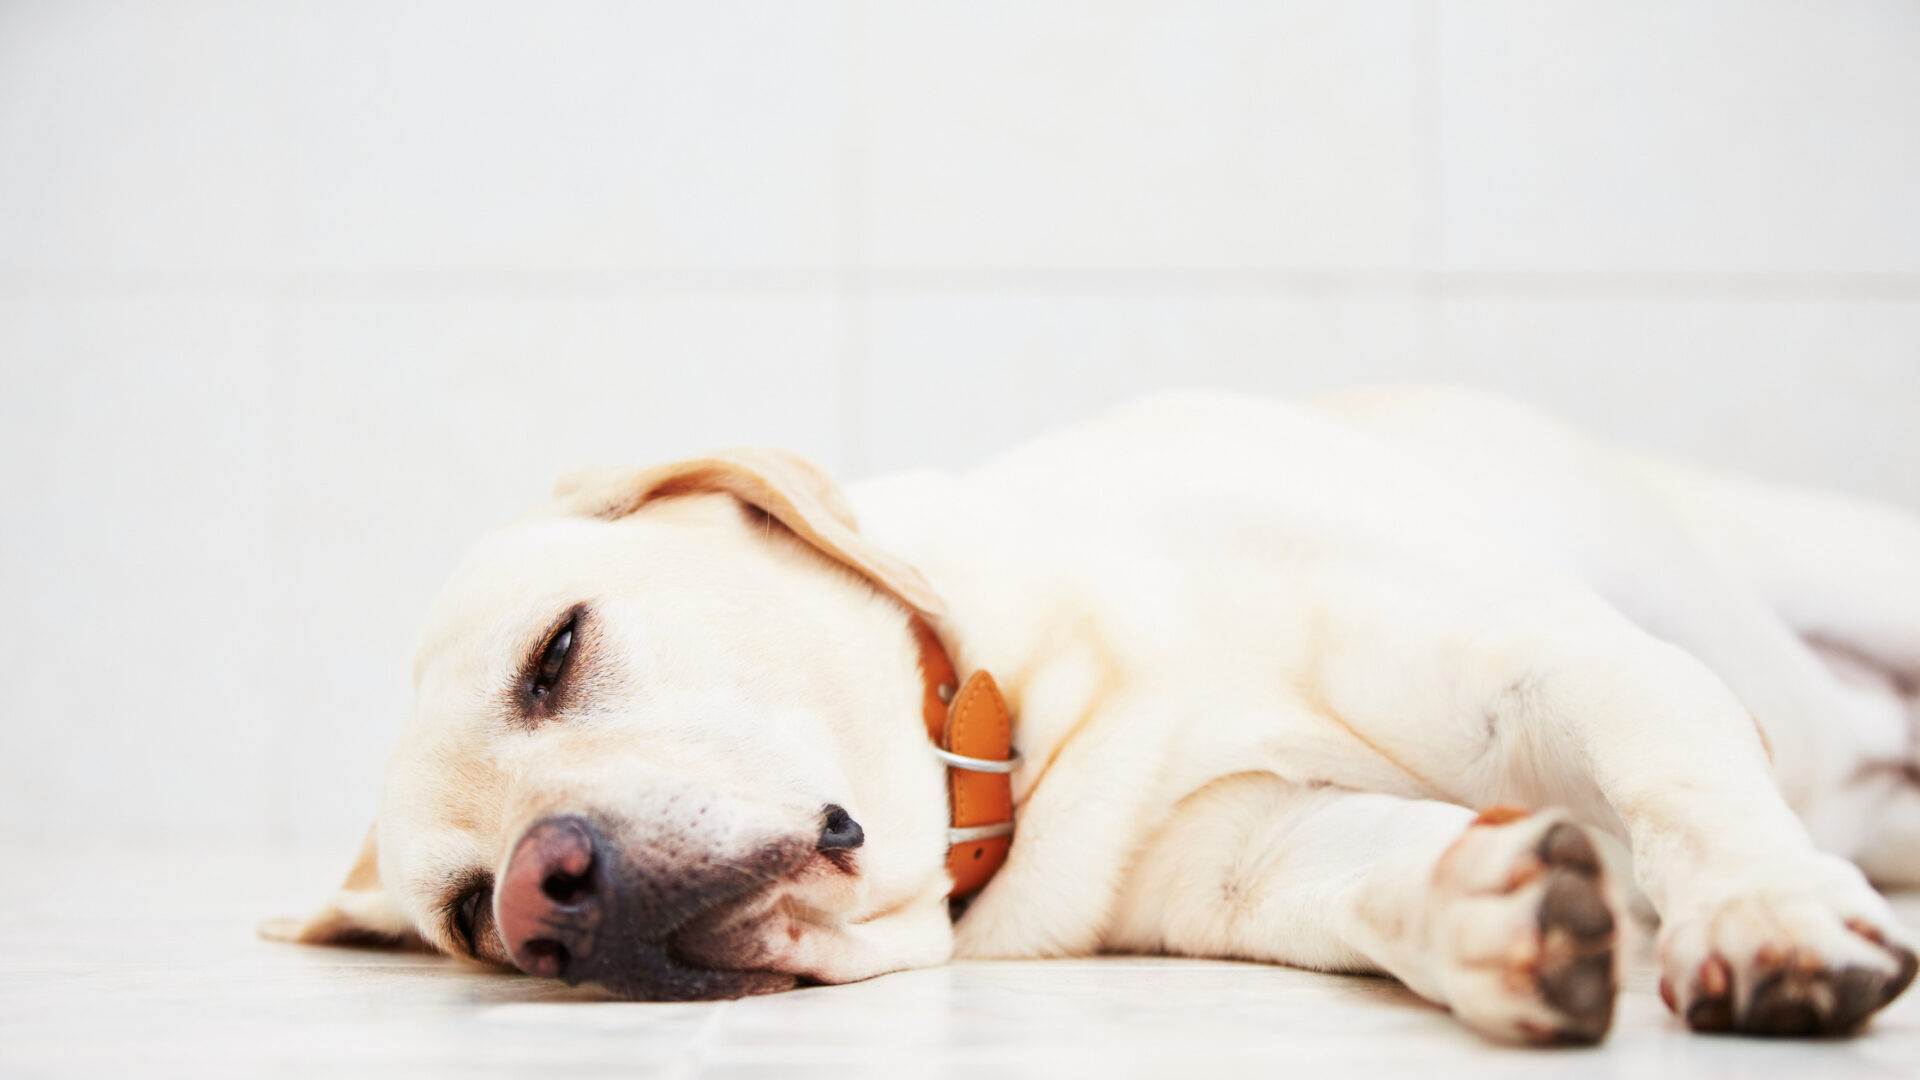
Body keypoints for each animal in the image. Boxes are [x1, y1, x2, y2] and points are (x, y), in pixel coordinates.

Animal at [266, 388, 1920, 1045]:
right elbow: (1385, 881)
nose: (541, 902)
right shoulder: (1256, 853)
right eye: (470, 920)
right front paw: (1492, 911)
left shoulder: (1556, 664)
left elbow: (1683, 787)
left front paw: (1762, 918)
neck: (1033, 714)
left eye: (555, 654)